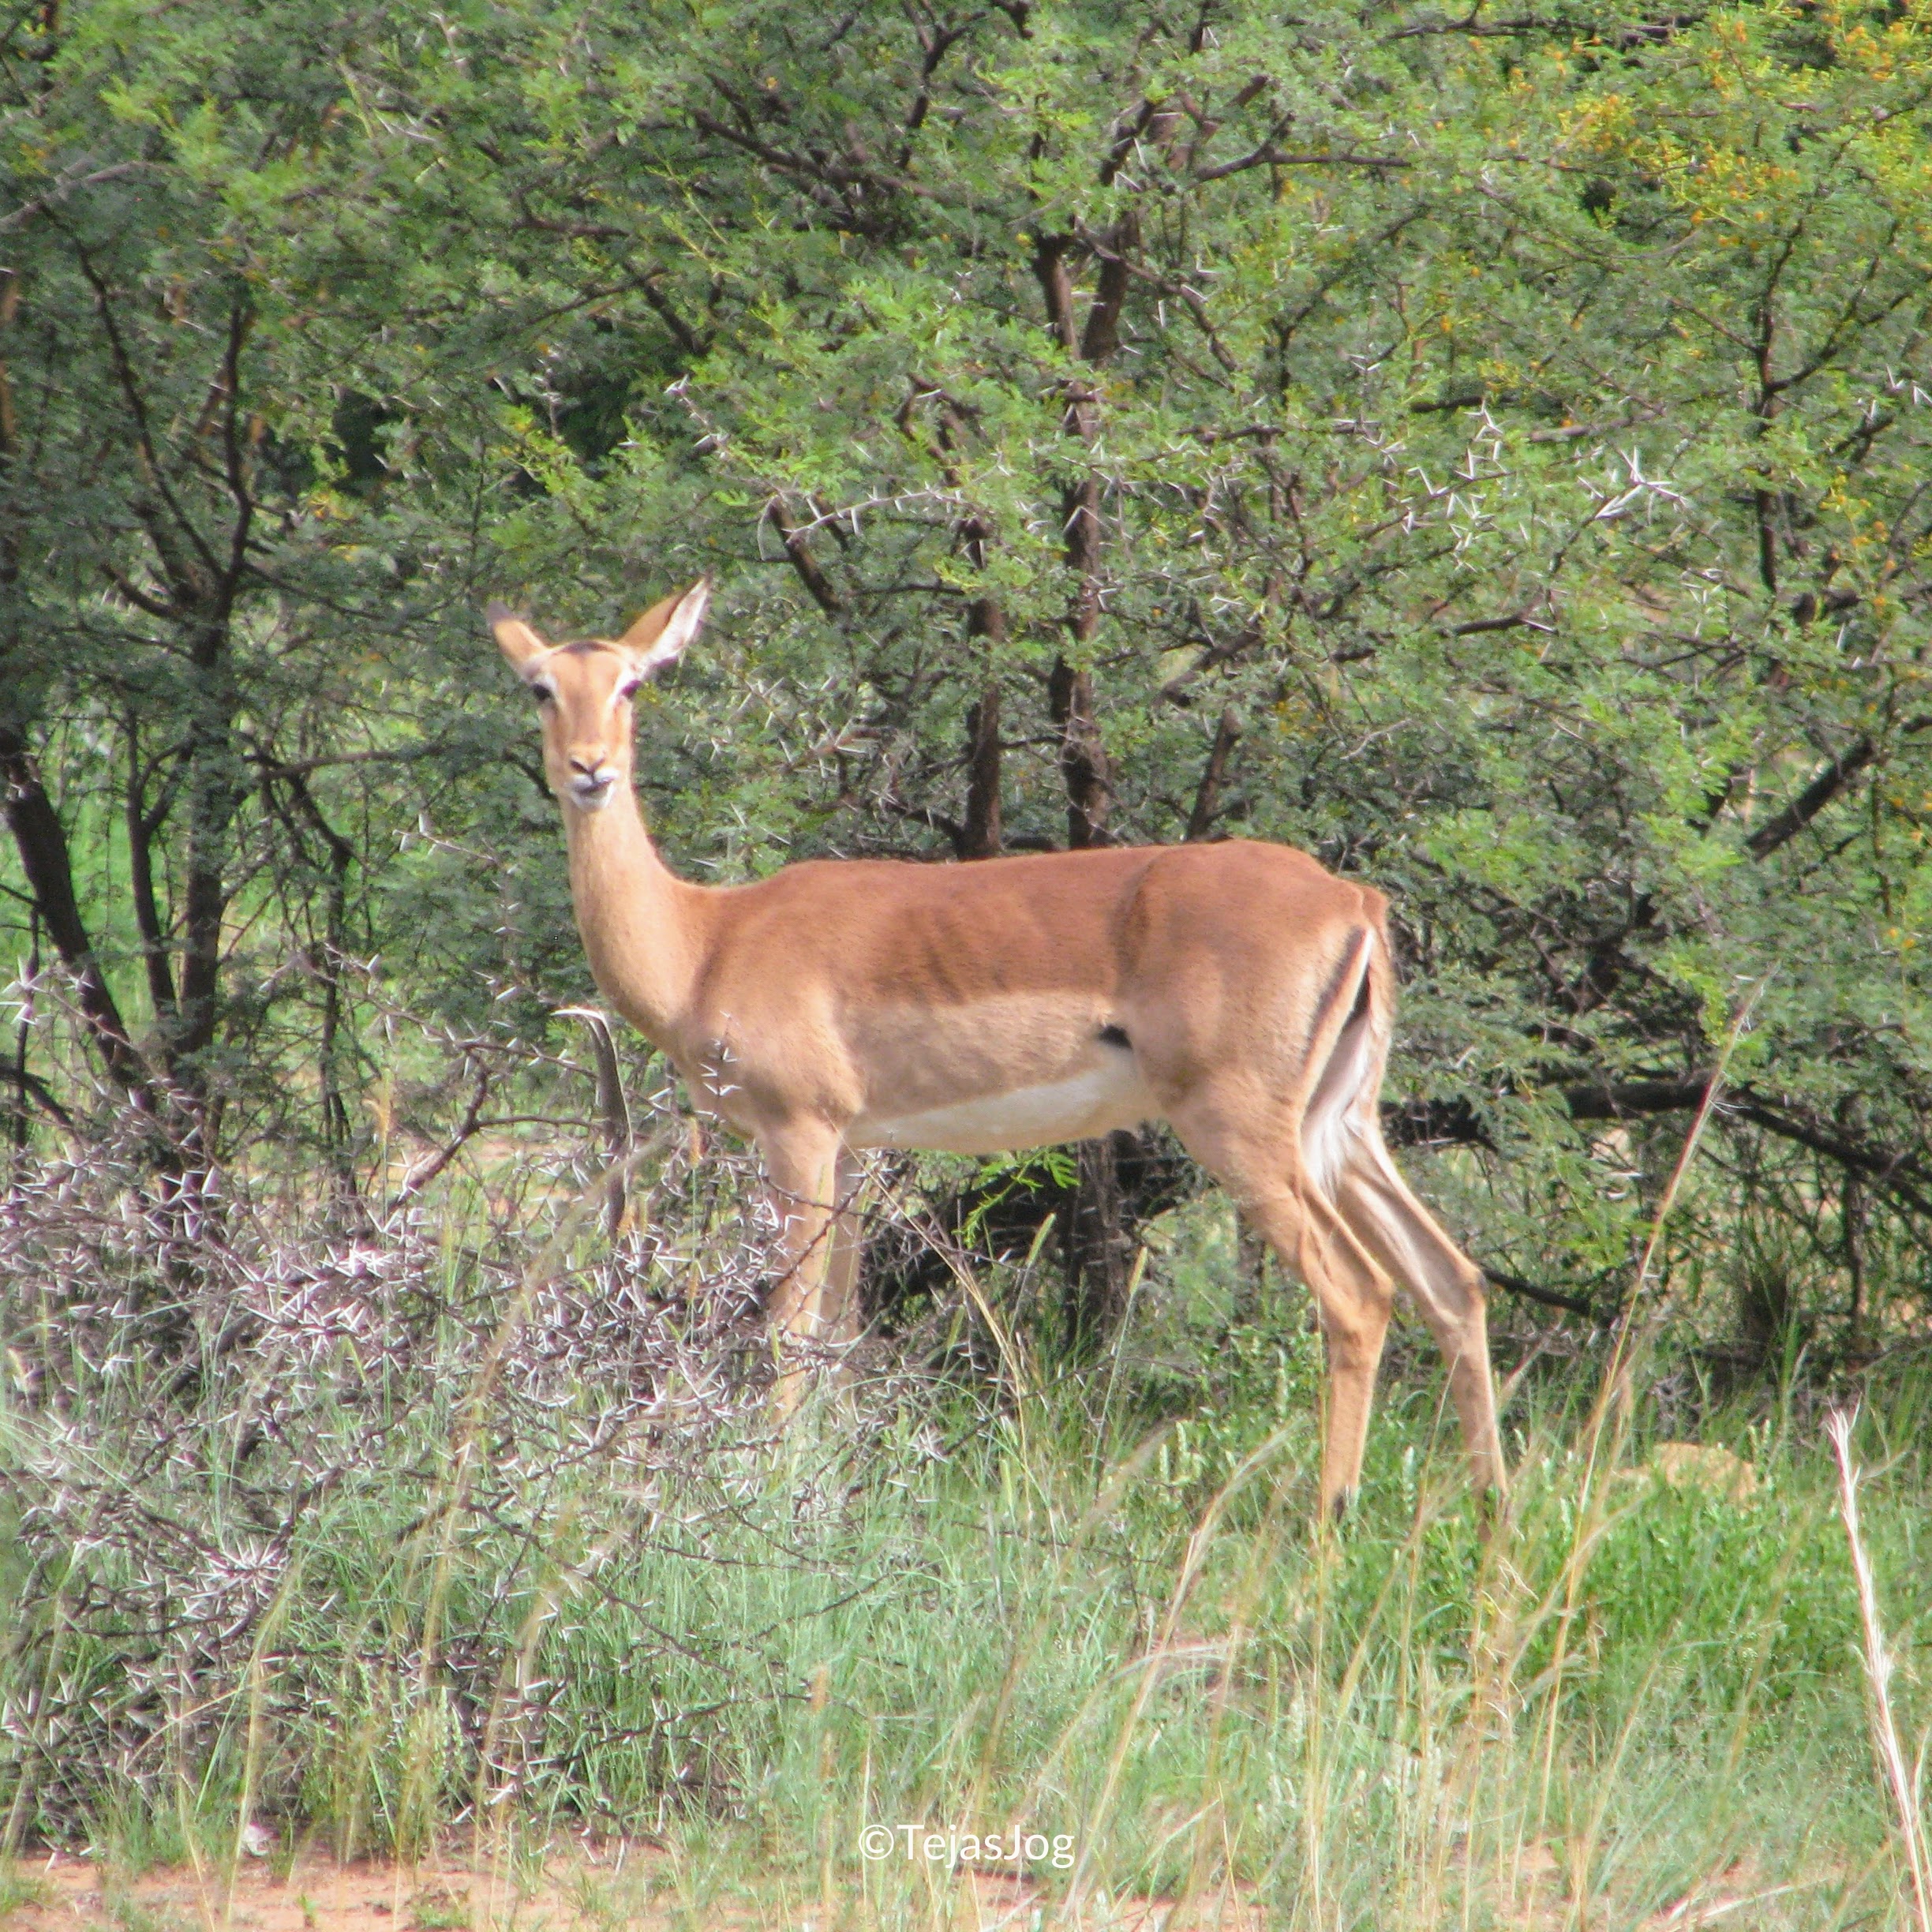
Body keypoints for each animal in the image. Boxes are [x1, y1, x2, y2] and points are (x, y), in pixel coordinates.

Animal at [490, 580, 1506, 1514]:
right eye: (542, 686)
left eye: (630, 684)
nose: (588, 769)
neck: (707, 939)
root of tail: (1352, 901)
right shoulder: (855, 1148)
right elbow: (840, 1333)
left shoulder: (799, 1135)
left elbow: (788, 1322)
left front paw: (770, 1493)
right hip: (1343, 1129)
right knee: (1453, 1282)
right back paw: (1488, 1524)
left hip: (1244, 1132)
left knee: (1361, 1297)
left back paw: (1330, 1526)